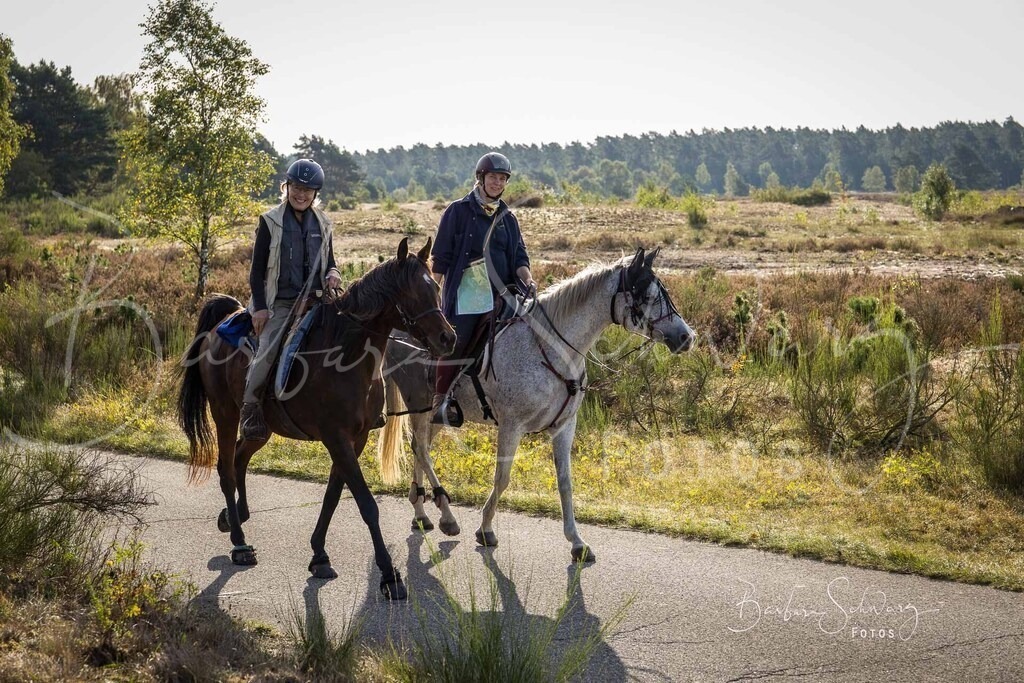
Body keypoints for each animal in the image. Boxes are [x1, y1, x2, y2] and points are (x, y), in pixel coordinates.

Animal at [177, 237, 455, 600]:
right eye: (411, 292)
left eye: (434, 287)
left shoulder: (355, 439)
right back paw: (239, 544)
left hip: (261, 428)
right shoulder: (336, 437)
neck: (348, 355)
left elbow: (332, 496)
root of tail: (221, 323)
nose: (448, 338)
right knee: (225, 468)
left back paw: (234, 515)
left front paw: (319, 555)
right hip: (224, 411)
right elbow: (367, 504)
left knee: (239, 457)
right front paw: (389, 575)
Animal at [377, 246, 695, 563]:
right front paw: (486, 529)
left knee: (421, 448)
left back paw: (421, 512)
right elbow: (502, 478)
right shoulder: (511, 426)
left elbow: (565, 483)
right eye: (646, 296)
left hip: (435, 415)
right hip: (418, 403)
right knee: (421, 448)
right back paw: (447, 517)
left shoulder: (565, 426)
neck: (554, 350)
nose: (686, 337)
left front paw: (577, 542)